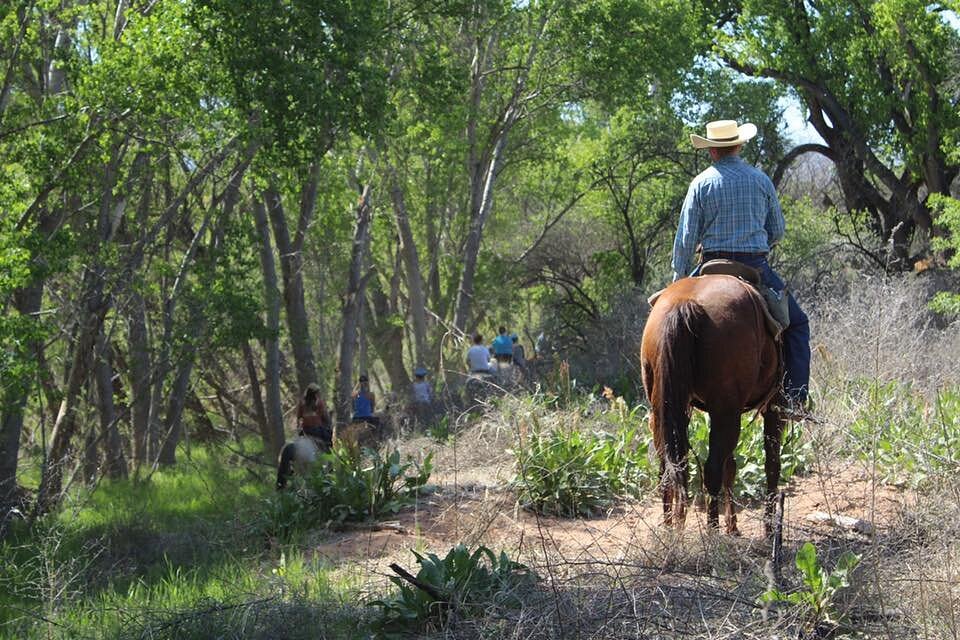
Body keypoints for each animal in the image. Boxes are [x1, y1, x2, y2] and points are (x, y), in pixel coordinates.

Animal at [640, 276, 784, 536]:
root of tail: (683, 303)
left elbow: (733, 465)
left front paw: (733, 526)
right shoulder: (772, 406)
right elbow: (771, 463)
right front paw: (769, 529)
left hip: (662, 411)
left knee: (669, 468)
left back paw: (670, 529)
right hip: (727, 412)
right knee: (713, 469)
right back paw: (712, 530)